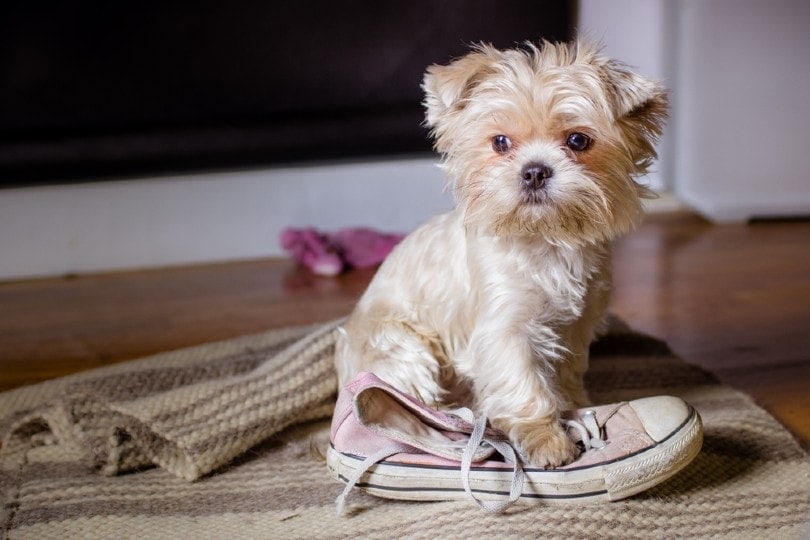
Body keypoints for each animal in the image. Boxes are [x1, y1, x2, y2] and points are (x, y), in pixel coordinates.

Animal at [332, 40, 664, 468]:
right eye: (500, 143)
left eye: (577, 141)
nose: (535, 171)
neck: (544, 241)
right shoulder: (505, 331)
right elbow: (523, 384)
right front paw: (546, 438)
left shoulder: (575, 326)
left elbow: (565, 374)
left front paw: (573, 406)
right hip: (402, 347)